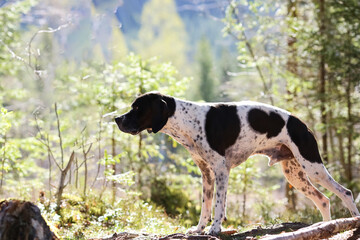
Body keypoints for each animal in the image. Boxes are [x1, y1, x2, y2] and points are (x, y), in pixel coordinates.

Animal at [116, 91, 360, 234]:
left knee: (345, 192)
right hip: (296, 175)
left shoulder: (221, 170)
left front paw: (215, 229)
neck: (187, 120)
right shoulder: (206, 174)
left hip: (313, 167)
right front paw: (199, 228)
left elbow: (218, 205)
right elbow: (205, 205)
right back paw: (325, 226)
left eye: (137, 108)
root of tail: (302, 124)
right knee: (324, 200)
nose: (117, 119)